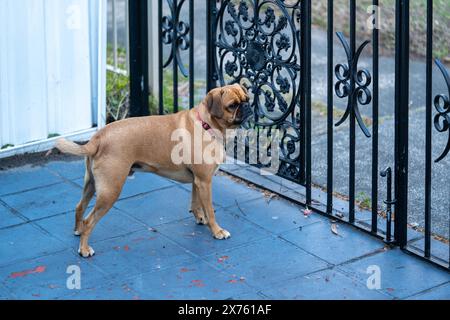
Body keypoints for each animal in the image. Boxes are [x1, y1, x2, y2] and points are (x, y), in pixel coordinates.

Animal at [55, 84, 251, 258]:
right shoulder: (204, 182)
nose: (248, 106)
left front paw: (199, 218)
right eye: (232, 105)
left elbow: (196, 203)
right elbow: (210, 209)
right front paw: (217, 230)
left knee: (79, 207)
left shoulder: (198, 181)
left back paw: (78, 231)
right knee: (89, 221)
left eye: (246, 99)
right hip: (110, 191)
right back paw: (84, 249)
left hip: (91, 185)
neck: (206, 125)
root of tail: (98, 138)